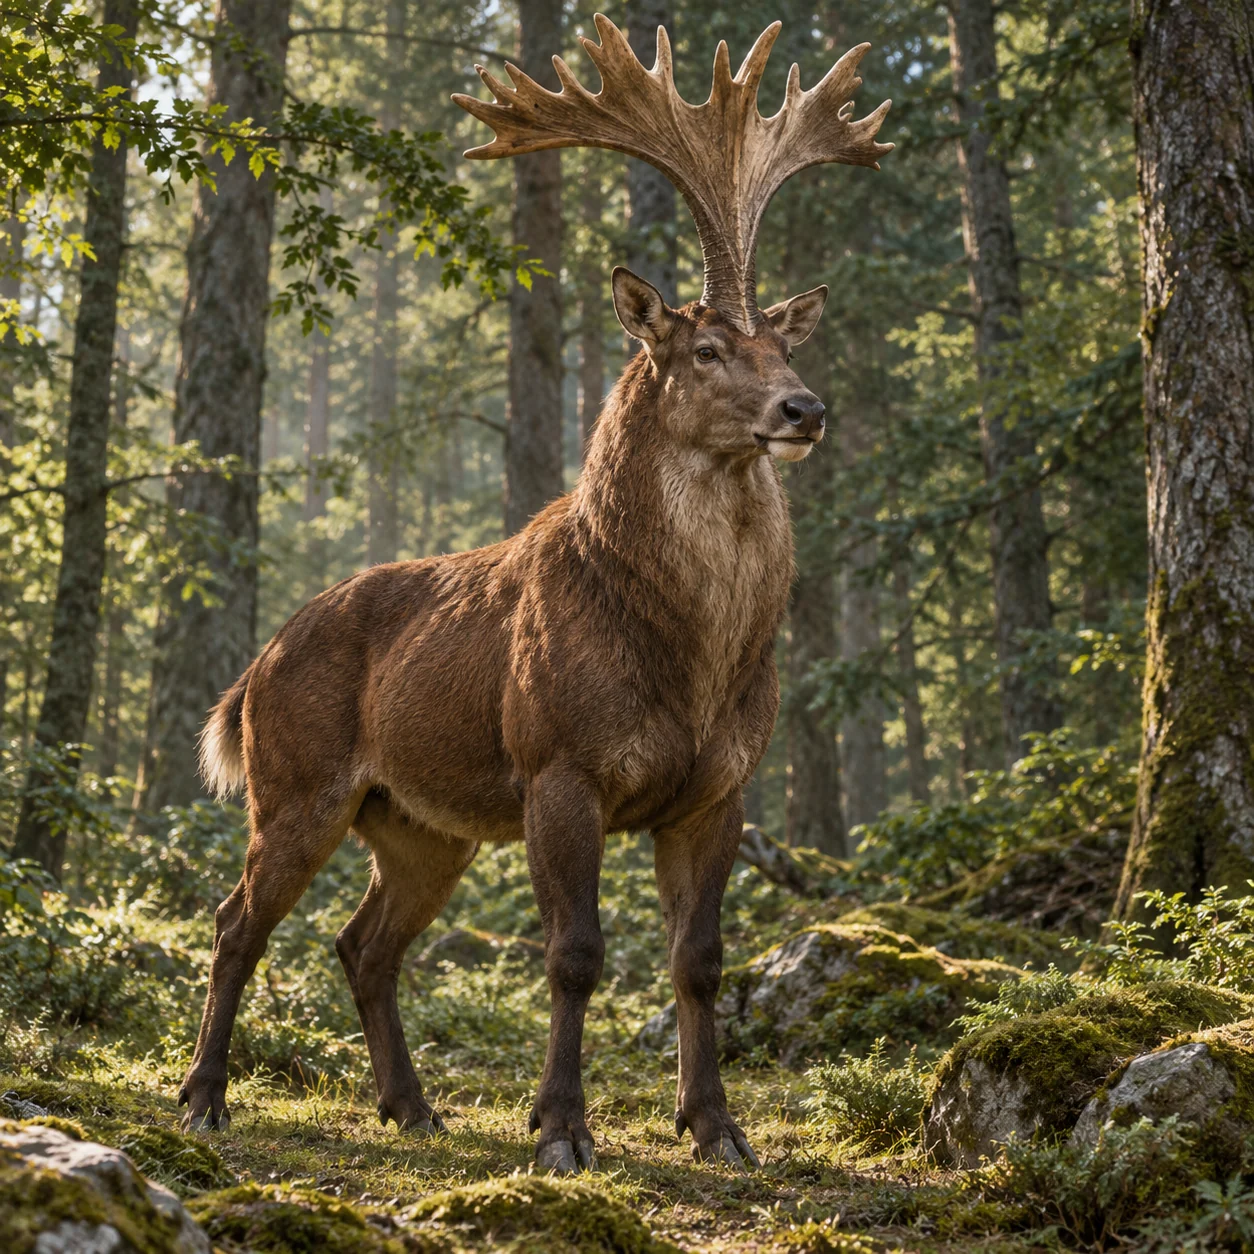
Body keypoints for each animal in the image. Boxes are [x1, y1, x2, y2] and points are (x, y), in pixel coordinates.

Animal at [178, 15, 890, 1173]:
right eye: (705, 347)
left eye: (784, 342)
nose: (805, 408)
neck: (693, 661)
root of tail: (251, 674)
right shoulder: (561, 762)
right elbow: (575, 953)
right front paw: (559, 1128)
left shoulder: (724, 787)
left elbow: (700, 960)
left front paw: (717, 1128)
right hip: (294, 784)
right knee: (238, 920)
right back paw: (203, 1097)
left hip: (422, 825)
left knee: (363, 944)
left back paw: (412, 1106)